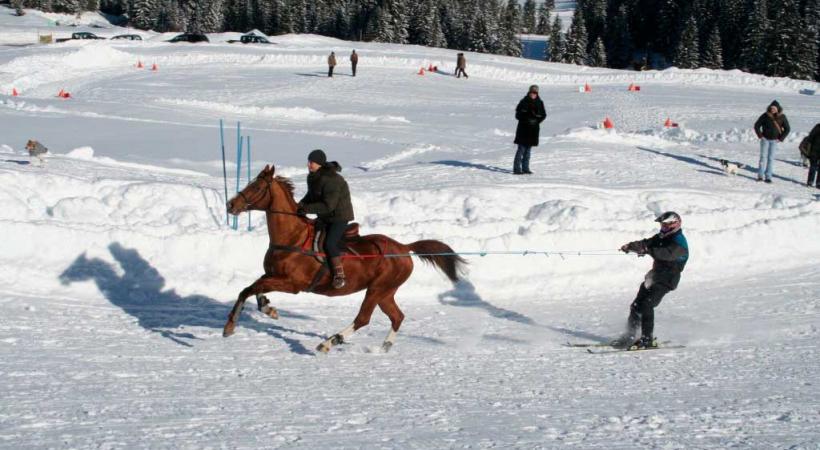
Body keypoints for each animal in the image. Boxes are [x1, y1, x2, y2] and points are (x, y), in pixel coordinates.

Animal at [223, 163, 468, 354]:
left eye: (256, 187)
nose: (230, 205)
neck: (293, 236)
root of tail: (404, 249)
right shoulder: (272, 275)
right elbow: (254, 289)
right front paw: (268, 308)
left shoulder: (292, 284)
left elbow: (248, 290)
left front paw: (230, 326)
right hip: (386, 292)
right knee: (397, 316)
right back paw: (384, 347)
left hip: (377, 289)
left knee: (363, 319)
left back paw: (329, 343)